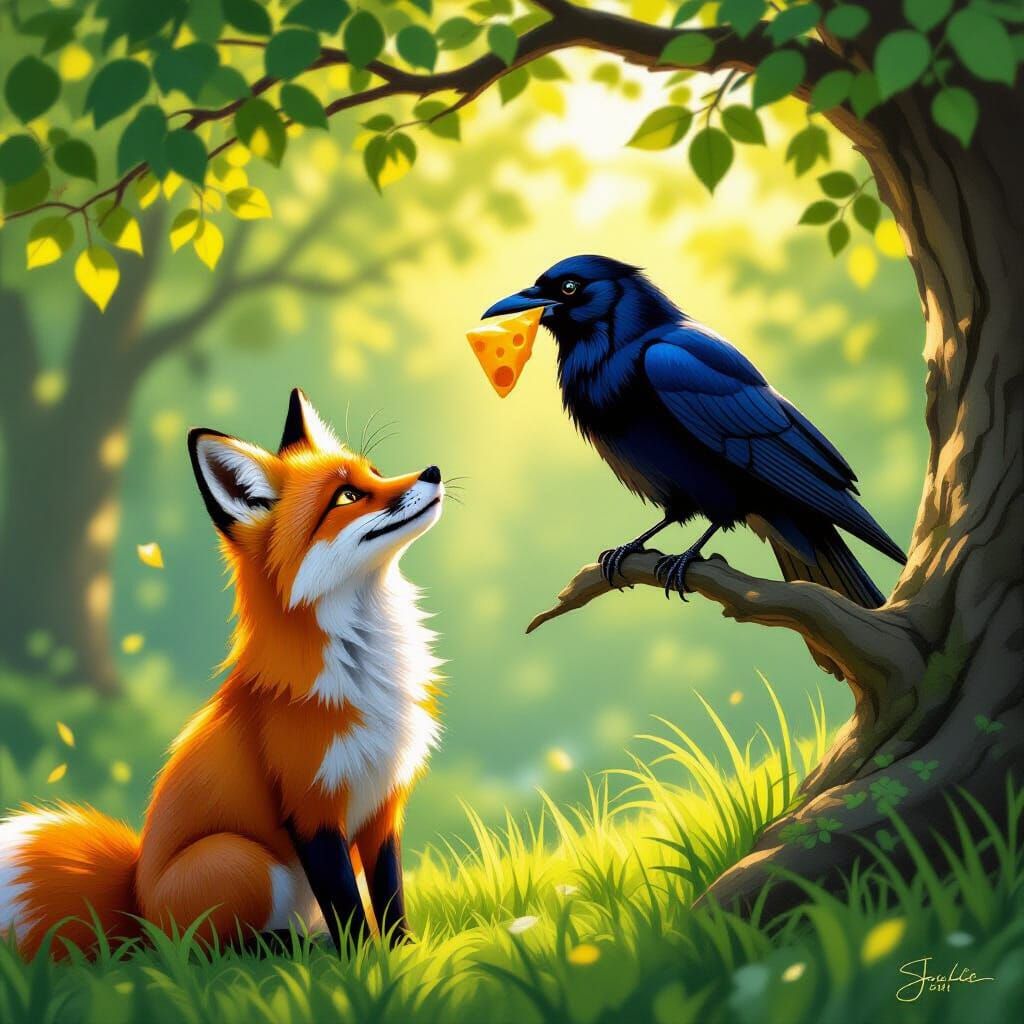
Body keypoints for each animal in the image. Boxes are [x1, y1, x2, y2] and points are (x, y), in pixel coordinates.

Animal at [0, 389, 445, 958]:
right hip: (244, 859)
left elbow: (389, 896)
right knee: (204, 951)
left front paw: (405, 956)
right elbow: (348, 904)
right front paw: (361, 961)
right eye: (346, 496)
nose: (432, 470)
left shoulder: (382, 805)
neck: (365, 668)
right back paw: (289, 947)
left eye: (377, 471)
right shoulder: (311, 808)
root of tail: (136, 904)